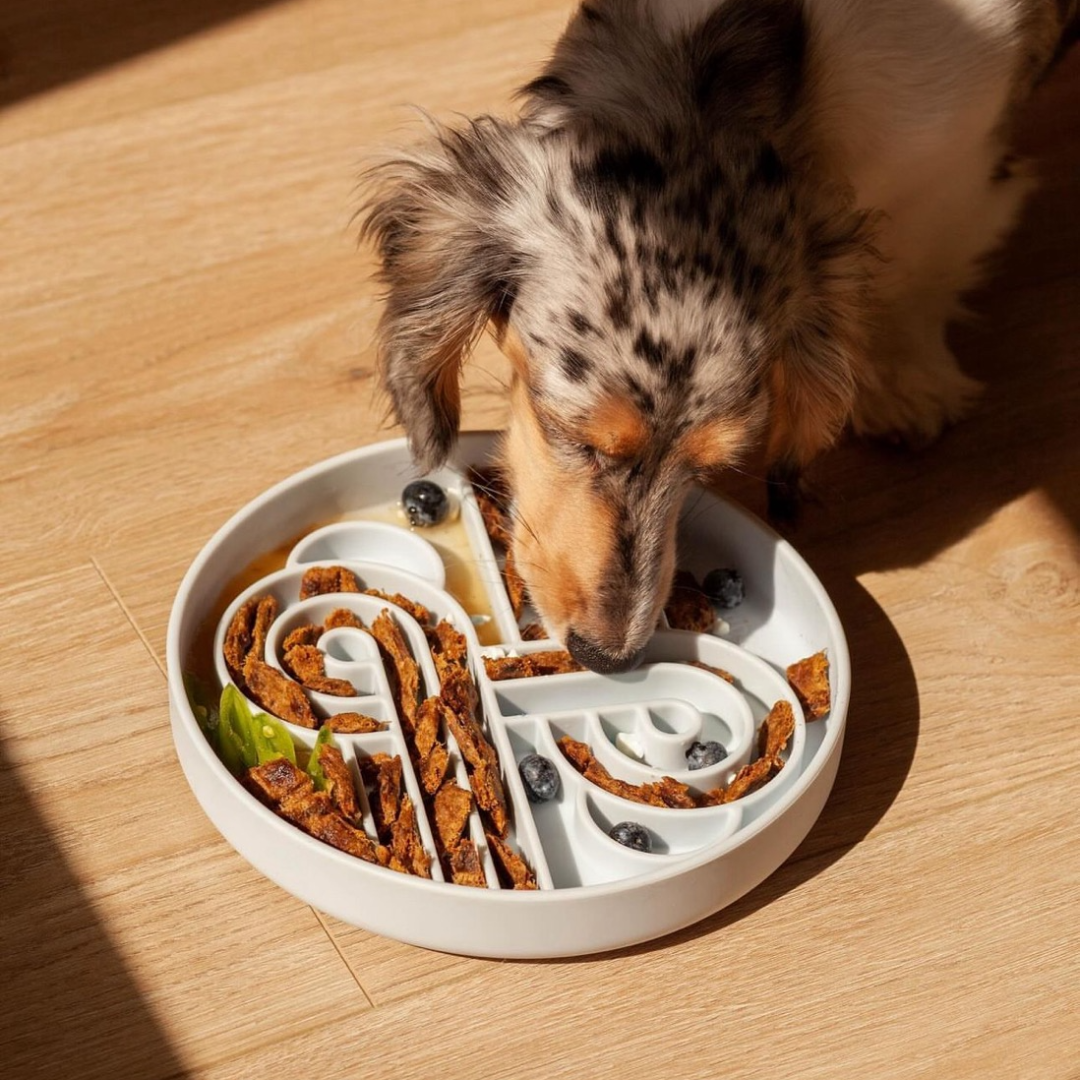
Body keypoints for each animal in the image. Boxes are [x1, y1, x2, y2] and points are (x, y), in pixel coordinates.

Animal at [362, 0, 1080, 669]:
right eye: (576, 437)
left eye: (710, 468)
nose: (608, 656)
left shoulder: (955, 157)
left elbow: (923, 259)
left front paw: (906, 380)